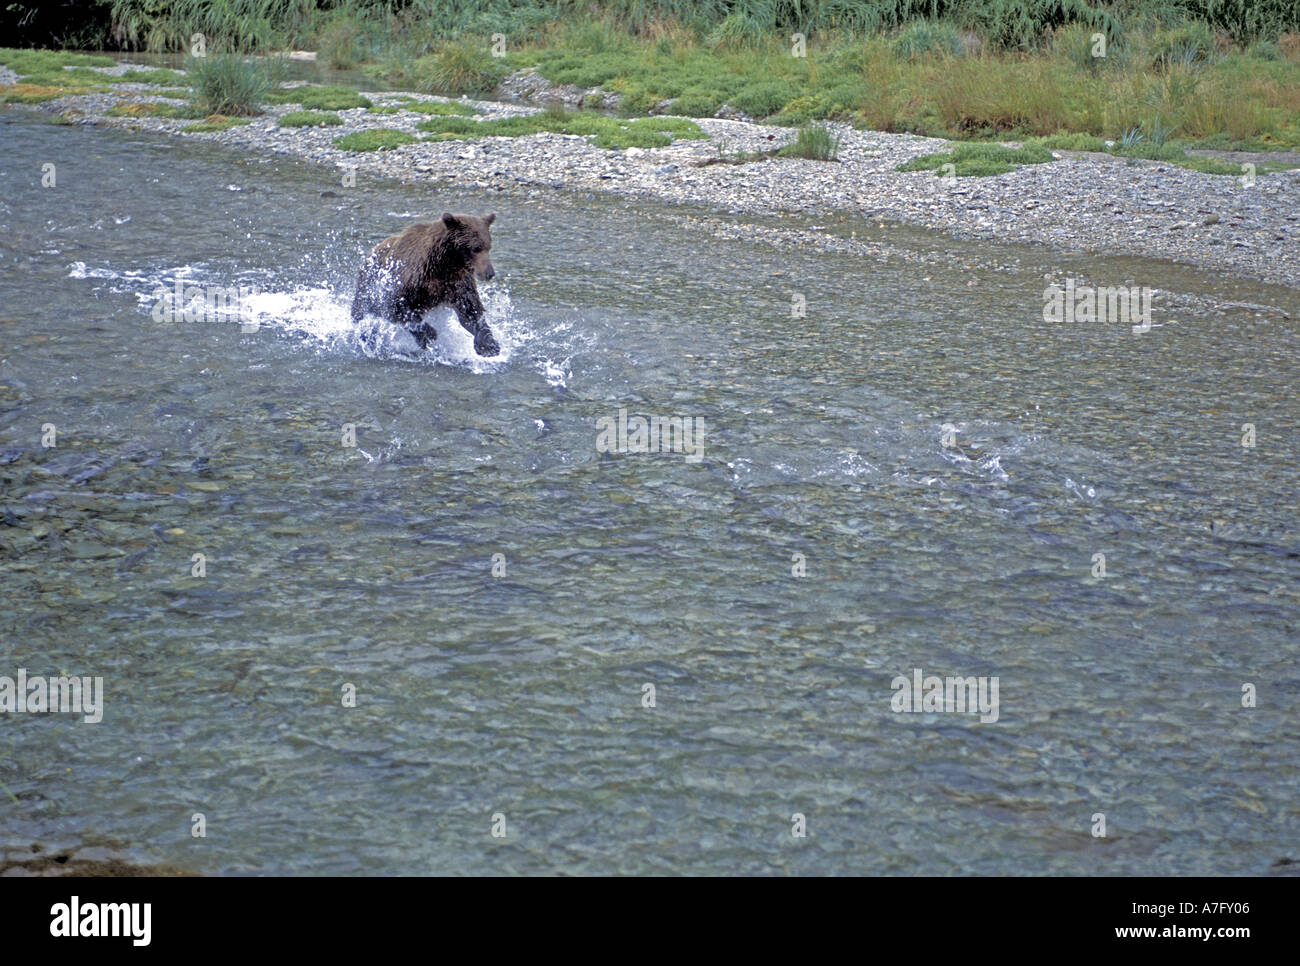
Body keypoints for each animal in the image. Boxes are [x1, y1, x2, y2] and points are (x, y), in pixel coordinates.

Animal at [351, 213, 501, 356]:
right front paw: (428, 335)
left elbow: (471, 311)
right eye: (475, 248)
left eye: (488, 247)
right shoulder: (410, 280)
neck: (445, 265)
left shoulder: (457, 284)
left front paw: (489, 345)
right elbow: (396, 306)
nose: (489, 273)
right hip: (368, 286)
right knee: (360, 312)